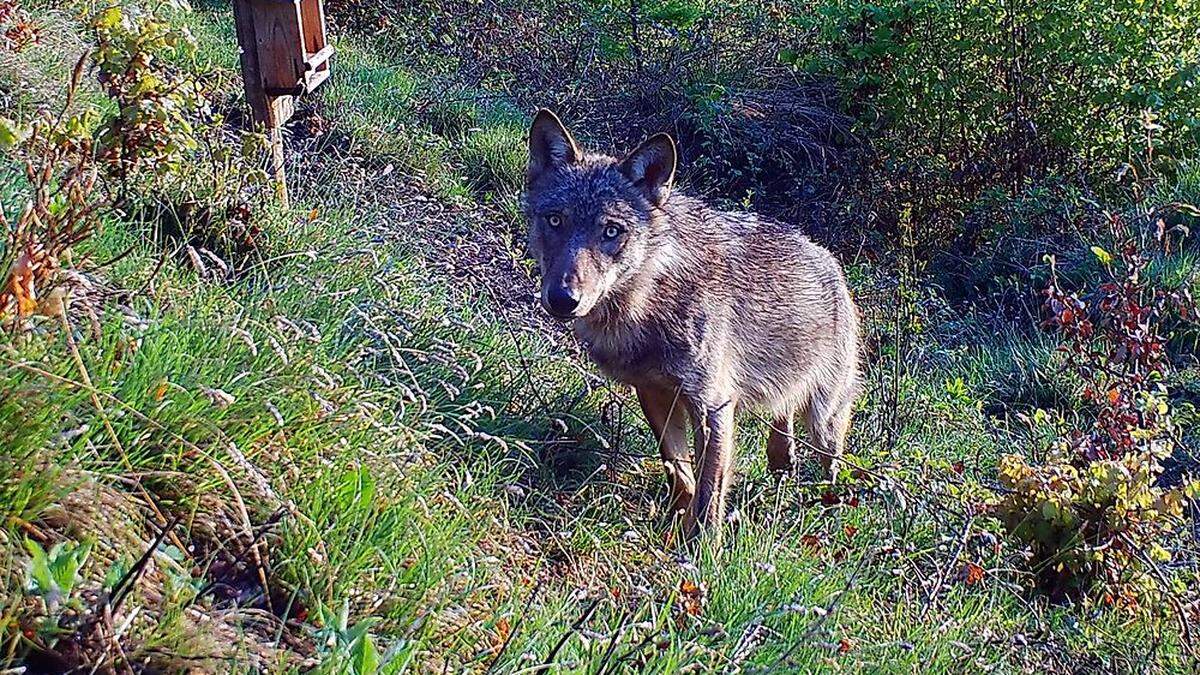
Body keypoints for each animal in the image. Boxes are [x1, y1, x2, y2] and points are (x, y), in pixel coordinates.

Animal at [525, 107, 864, 533]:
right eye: (555, 221)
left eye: (611, 231)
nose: (563, 300)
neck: (648, 302)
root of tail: (829, 259)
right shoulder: (654, 393)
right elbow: (678, 469)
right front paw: (676, 519)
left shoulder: (712, 406)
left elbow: (709, 490)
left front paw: (700, 544)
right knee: (783, 420)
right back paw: (782, 466)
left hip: (824, 419)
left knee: (830, 462)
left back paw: (827, 506)